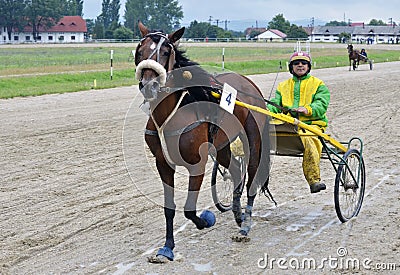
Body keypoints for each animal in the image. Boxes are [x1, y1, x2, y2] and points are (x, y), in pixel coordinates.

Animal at [135, 21, 272, 264]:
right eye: (140, 49)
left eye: (166, 51)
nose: (149, 85)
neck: (171, 112)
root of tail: (248, 82)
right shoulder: (163, 164)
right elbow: (169, 208)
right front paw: (167, 248)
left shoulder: (196, 164)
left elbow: (190, 210)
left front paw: (206, 220)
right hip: (222, 146)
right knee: (235, 170)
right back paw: (237, 214)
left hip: (254, 140)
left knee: (251, 179)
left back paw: (245, 225)